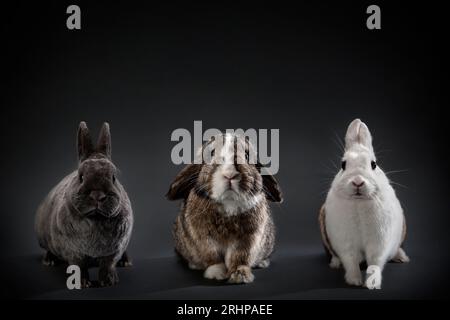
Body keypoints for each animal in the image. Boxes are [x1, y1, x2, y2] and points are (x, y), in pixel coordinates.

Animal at [35, 122, 134, 288]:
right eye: (80, 177)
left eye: (113, 177)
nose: (97, 195)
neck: (96, 218)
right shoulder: (72, 251)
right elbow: (78, 265)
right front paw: (81, 283)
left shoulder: (115, 248)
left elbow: (108, 264)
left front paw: (109, 282)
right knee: (49, 249)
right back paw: (49, 261)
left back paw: (126, 262)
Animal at [318, 119, 410, 288]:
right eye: (343, 165)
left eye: (374, 164)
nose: (358, 182)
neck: (358, 202)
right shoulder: (346, 243)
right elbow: (351, 261)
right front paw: (354, 281)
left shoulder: (379, 242)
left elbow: (375, 262)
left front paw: (371, 284)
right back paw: (335, 264)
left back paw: (401, 257)